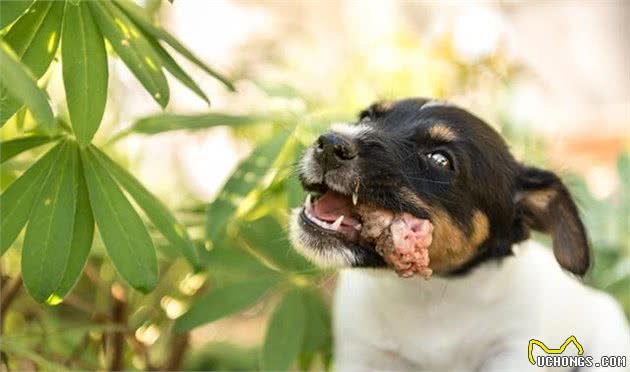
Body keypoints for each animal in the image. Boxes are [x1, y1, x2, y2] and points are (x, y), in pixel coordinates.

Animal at [288, 97, 628, 370]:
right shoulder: (362, 354)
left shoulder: (512, 352)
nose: (329, 144)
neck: (426, 293)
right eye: (366, 117)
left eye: (440, 160)